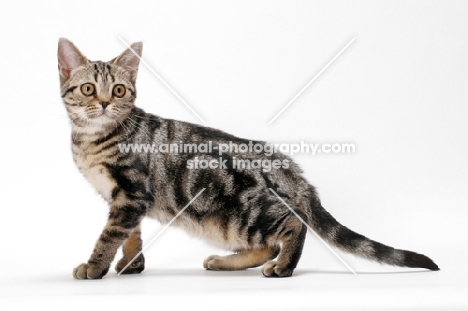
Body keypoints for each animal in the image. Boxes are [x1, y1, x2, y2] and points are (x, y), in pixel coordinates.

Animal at [57, 37, 438, 280]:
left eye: (119, 90)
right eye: (88, 89)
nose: (104, 103)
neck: (92, 139)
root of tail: (290, 170)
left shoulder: (131, 192)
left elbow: (110, 235)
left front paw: (95, 266)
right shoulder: (125, 199)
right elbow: (131, 234)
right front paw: (131, 264)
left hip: (238, 214)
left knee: (293, 224)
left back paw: (284, 266)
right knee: (267, 245)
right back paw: (226, 263)